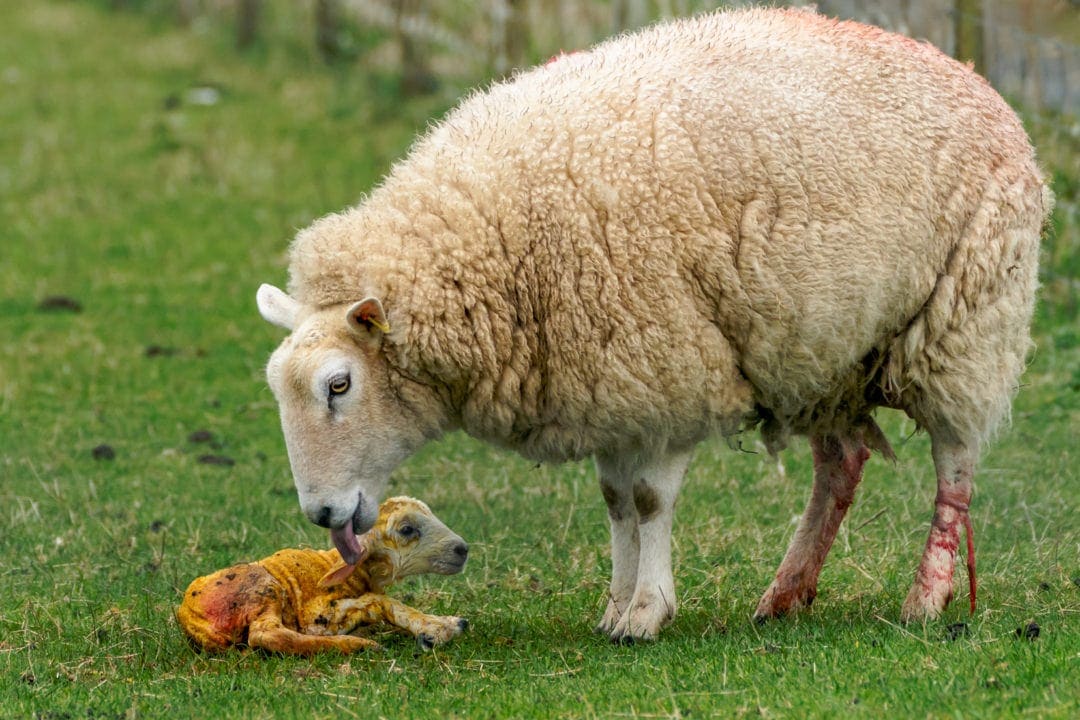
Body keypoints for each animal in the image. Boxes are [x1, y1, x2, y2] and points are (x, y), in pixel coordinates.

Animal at [254, 7, 1054, 643]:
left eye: (339, 385)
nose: (322, 512)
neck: (499, 243)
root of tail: (974, 78)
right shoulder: (611, 379)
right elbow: (615, 502)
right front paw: (616, 606)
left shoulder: (671, 368)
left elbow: (647, 500)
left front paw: (644, 615)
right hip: (826, 350)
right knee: (841, 465)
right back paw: (786, 593)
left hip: (966, 316)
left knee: (955, 466)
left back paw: (927, 596)